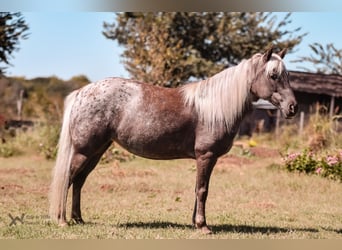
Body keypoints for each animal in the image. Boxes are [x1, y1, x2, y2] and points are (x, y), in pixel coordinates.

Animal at [49, 46, 298, 232]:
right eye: (273, 75)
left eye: (287, 75)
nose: (292, 108)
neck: (214, 107)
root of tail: (82, 93)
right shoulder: (206, 156)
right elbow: (202, 190)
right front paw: (203, 226)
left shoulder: (205, 159)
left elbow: (198, 189)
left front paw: (195, 222)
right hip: (83, 151)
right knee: (69, 178)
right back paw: (62, 220)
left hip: (97, 151)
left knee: (79, 181)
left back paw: (78, 219)